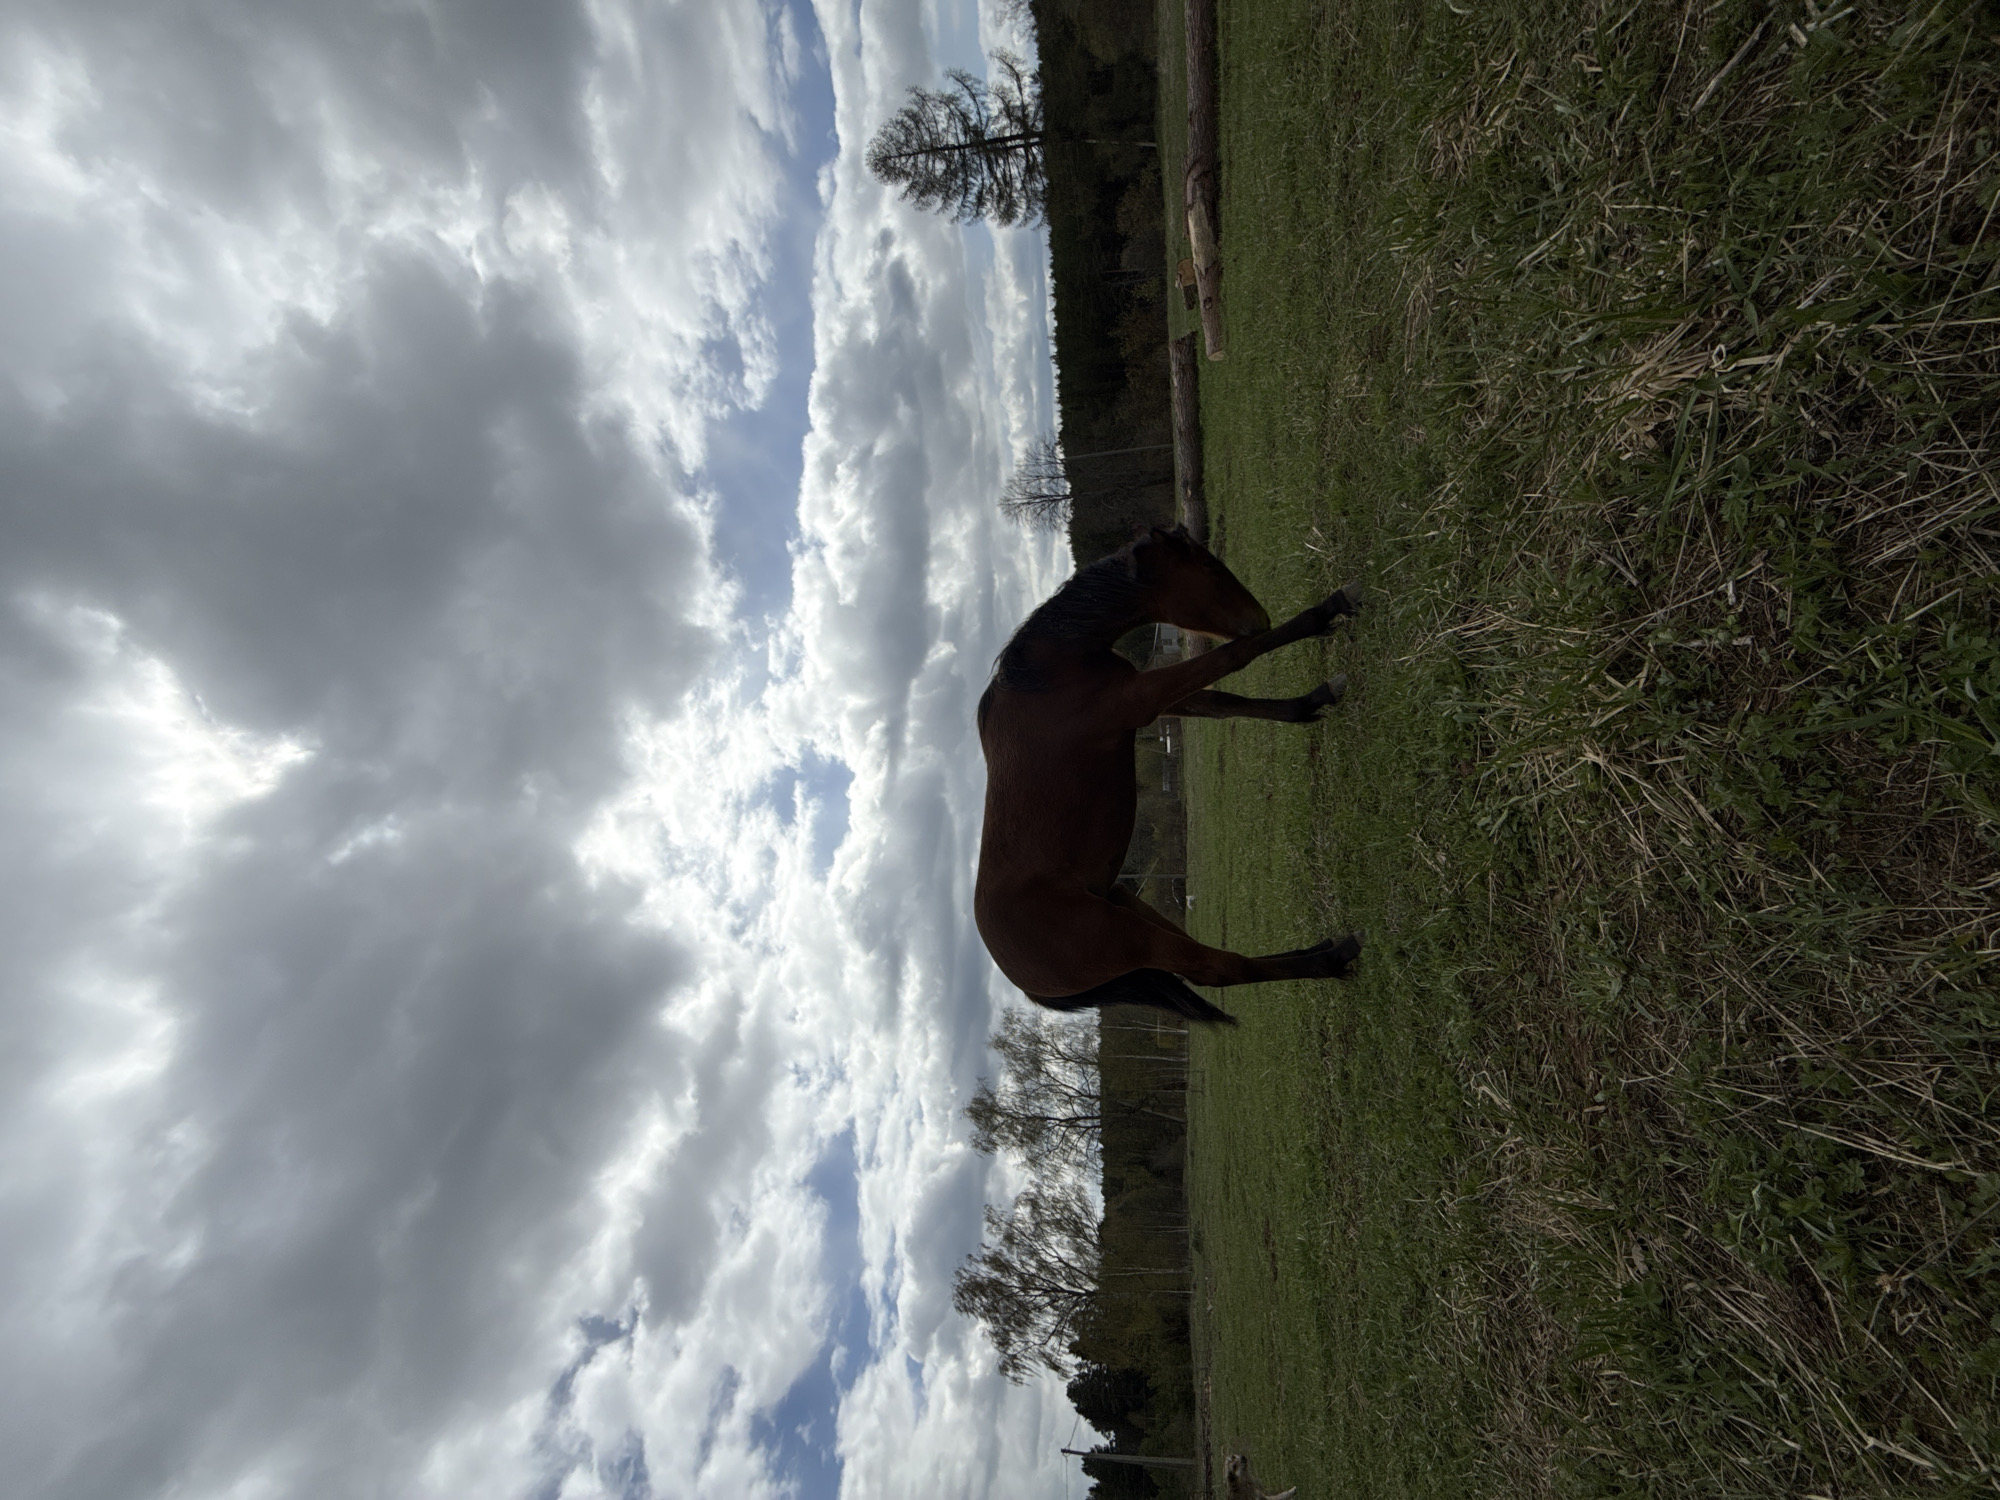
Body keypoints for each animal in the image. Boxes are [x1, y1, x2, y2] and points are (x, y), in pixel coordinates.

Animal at [974, 523, 1364, 1026]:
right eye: (1210, 567)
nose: (1259, 616)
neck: (1049, 672)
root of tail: (1028, 984)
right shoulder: (1142, 697)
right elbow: (1238, 656)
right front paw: (1330, 607)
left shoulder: (1154, 701)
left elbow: (1225, 703)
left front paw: (1311, 701)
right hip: (1132, 937)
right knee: (1221, 969)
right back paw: (1331, 959)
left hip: (1128, 903)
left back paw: (1315, 949)